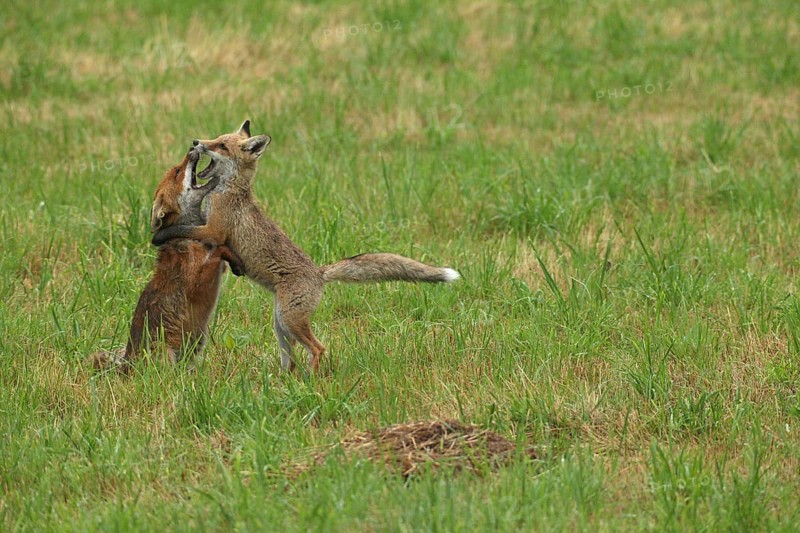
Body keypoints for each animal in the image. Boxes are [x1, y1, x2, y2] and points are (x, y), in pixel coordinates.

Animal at [91, 148, 244, 372]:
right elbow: (217, 251)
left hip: (194, 347)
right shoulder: (197, 283)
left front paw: (235, 260)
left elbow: (221, 252)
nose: (192, 148)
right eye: (177, 172)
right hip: (165, 351)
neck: (189, 236)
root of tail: (128, 362)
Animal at [151, 120, 460, 373]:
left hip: (290, 319)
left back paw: (310, 380)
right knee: (290, 359)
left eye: (222, 145)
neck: (230, 191)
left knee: (318, 348)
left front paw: (161, 233)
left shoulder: (214, 230)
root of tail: (319, 274)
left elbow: (184, 229)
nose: (196, 142)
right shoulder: (209, 224)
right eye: (216, 138)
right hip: (280, 322)